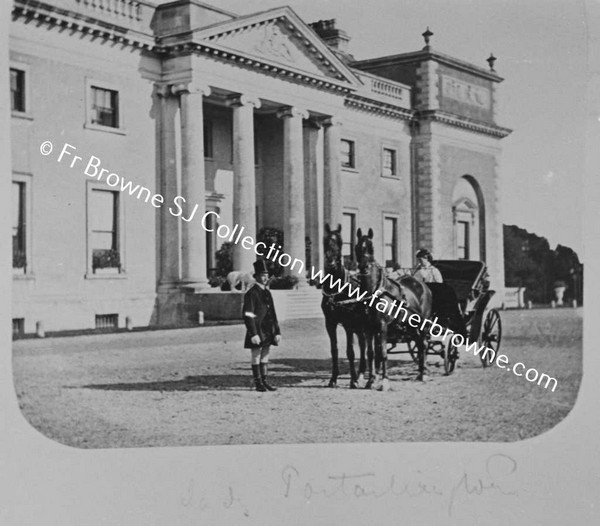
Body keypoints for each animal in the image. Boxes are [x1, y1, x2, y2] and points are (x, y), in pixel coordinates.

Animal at [322, 223, 372, 388]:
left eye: (340, 242)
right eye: (325, 241)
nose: (330, 262)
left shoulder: (348, 323)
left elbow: (350, 351)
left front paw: (353, 380)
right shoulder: (330, 323)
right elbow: (334, 350)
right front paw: (333, 378)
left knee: (366, 345)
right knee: (363, 343)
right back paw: (362, 371)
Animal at [354, 229, 434, 390]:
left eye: (371, 247)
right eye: (357, 247)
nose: (364, 267)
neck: (374, 292)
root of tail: (422, 285)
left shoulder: (382, 326)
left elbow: (383, 353)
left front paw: (384, 381)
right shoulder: (368, 328)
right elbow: (371, 353)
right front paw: (370, 381)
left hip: (423, 324)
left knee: (423, 344)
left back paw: (424, 373)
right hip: (411, 326)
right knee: (419, 344)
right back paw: (420, 372)